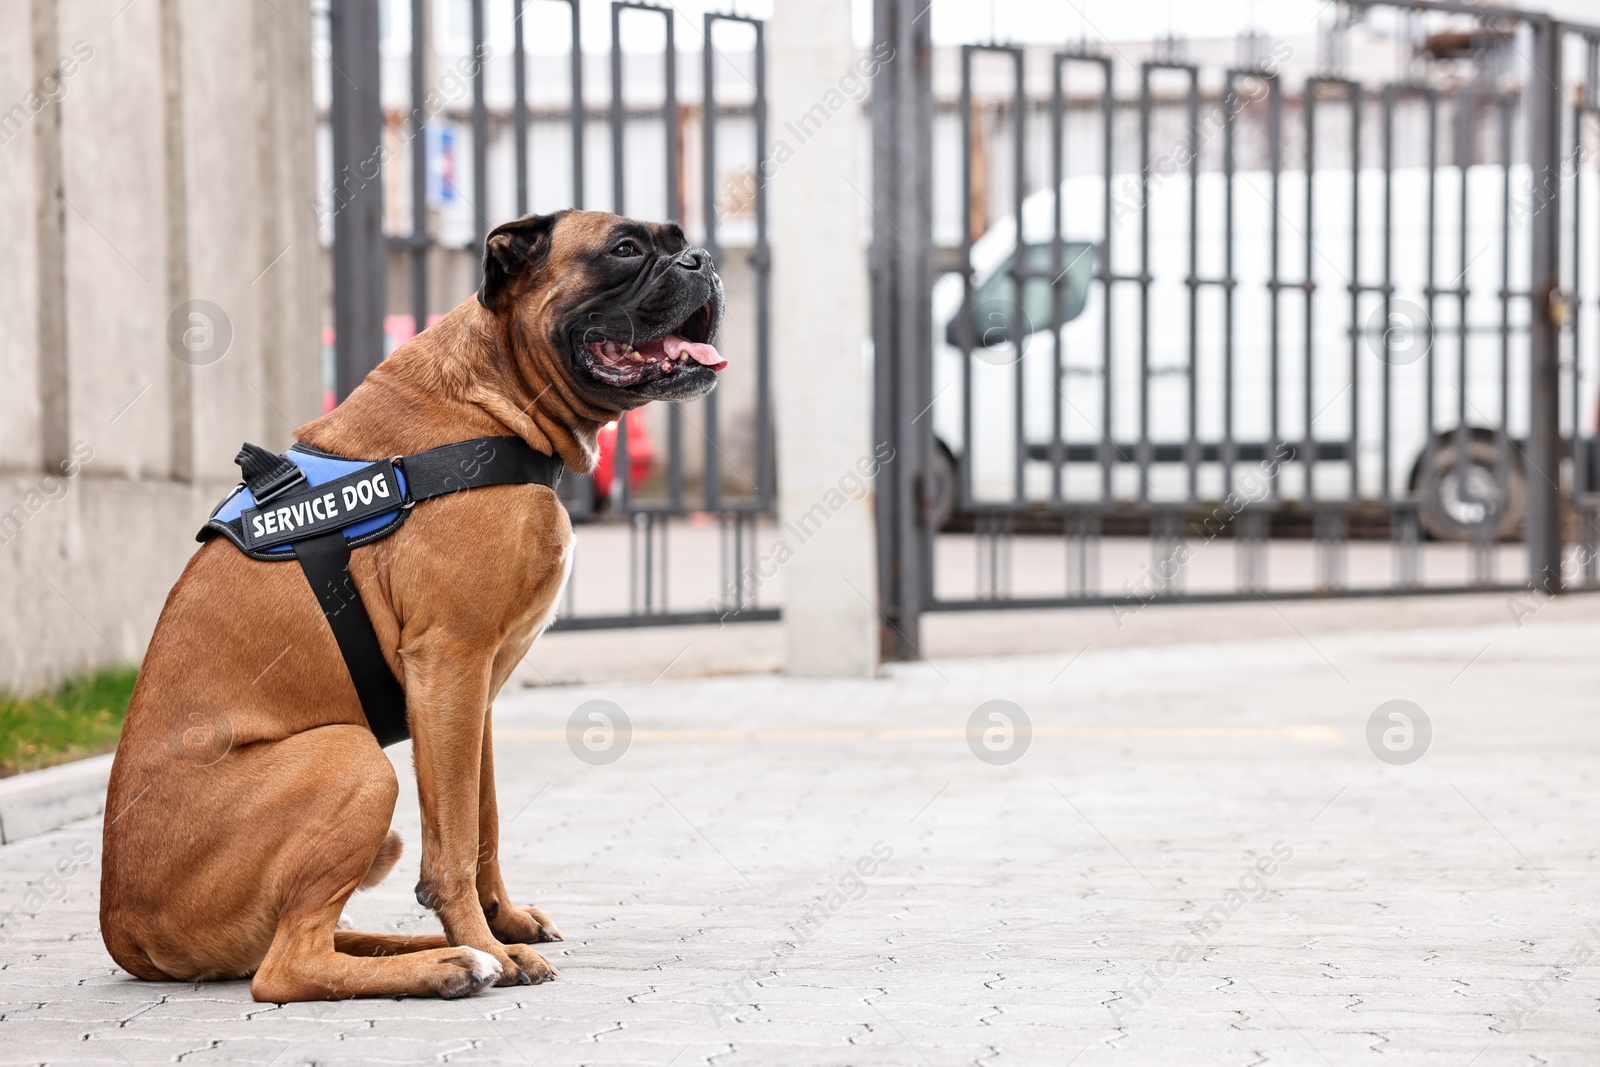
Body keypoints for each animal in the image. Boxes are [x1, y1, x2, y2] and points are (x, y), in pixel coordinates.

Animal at [100, 211, 726, 1004]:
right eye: (625, 249)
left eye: (677, 240)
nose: (702, 260)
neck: (494, 393)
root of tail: (121, 927)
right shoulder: (451, 662)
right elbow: (453, 840)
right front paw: (485, 938)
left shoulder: (471, 691)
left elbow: (481, 822)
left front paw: (502, 925)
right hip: (353, 759)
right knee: (287, 966)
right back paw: (451, 963)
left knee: (324, 937)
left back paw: (441, 949)